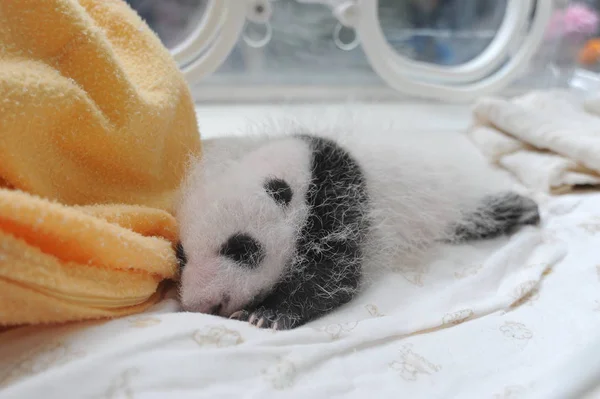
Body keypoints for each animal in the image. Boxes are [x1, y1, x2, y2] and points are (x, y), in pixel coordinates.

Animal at [176, 122, 540, 332]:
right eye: (182, 256)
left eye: (241, 248)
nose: (200, 305)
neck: (302, 160)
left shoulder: (342, 196)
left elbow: (338, 274)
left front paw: (267, 315)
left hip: (442, 202)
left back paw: (523, 209)